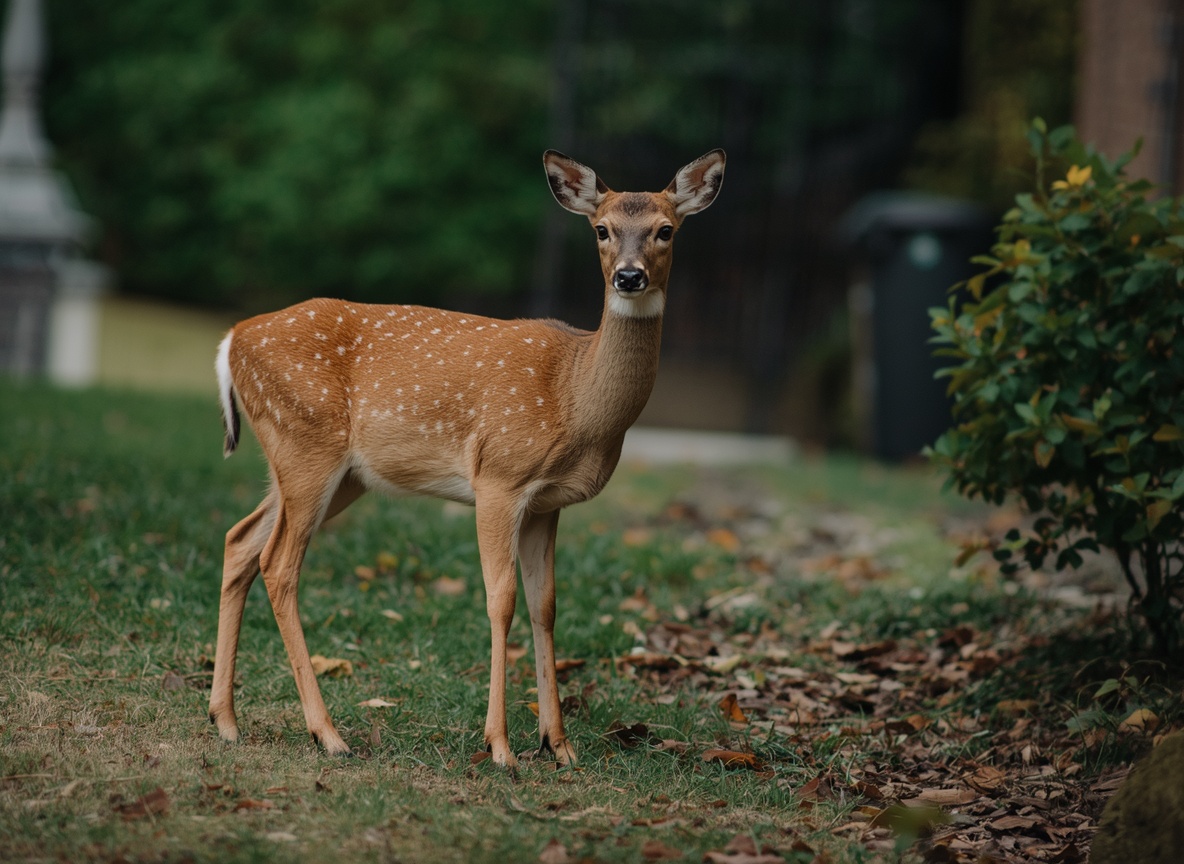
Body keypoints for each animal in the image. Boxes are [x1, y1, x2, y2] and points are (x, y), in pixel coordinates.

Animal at [207, 148, 725, 768]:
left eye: (665, 230)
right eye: (601, 229)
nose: (629, 276)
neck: (574, 396)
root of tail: (231, 339)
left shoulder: (548, 503)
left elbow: (545, 605)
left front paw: (560, 746)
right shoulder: (500, 476)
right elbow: (501, 599)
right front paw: (500, 746)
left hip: (325, 469)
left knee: (240, 539)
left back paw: (226, 720)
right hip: (306, 445)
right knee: (278, 564)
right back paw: (326, 733)